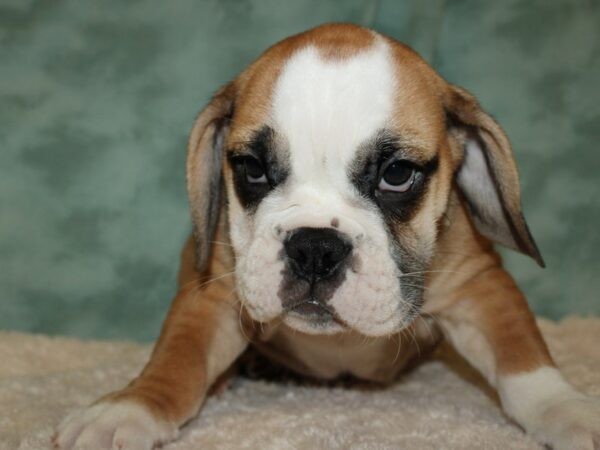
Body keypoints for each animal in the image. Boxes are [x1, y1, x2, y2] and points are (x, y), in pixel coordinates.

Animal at [55, 22, 600, 448]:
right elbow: (176, 361)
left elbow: (524, 359)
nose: (314, 248)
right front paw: (132, 406)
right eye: (252, 169)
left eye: (397, 174)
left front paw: (567, 408)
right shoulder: (210, 293)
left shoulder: (480, 285)